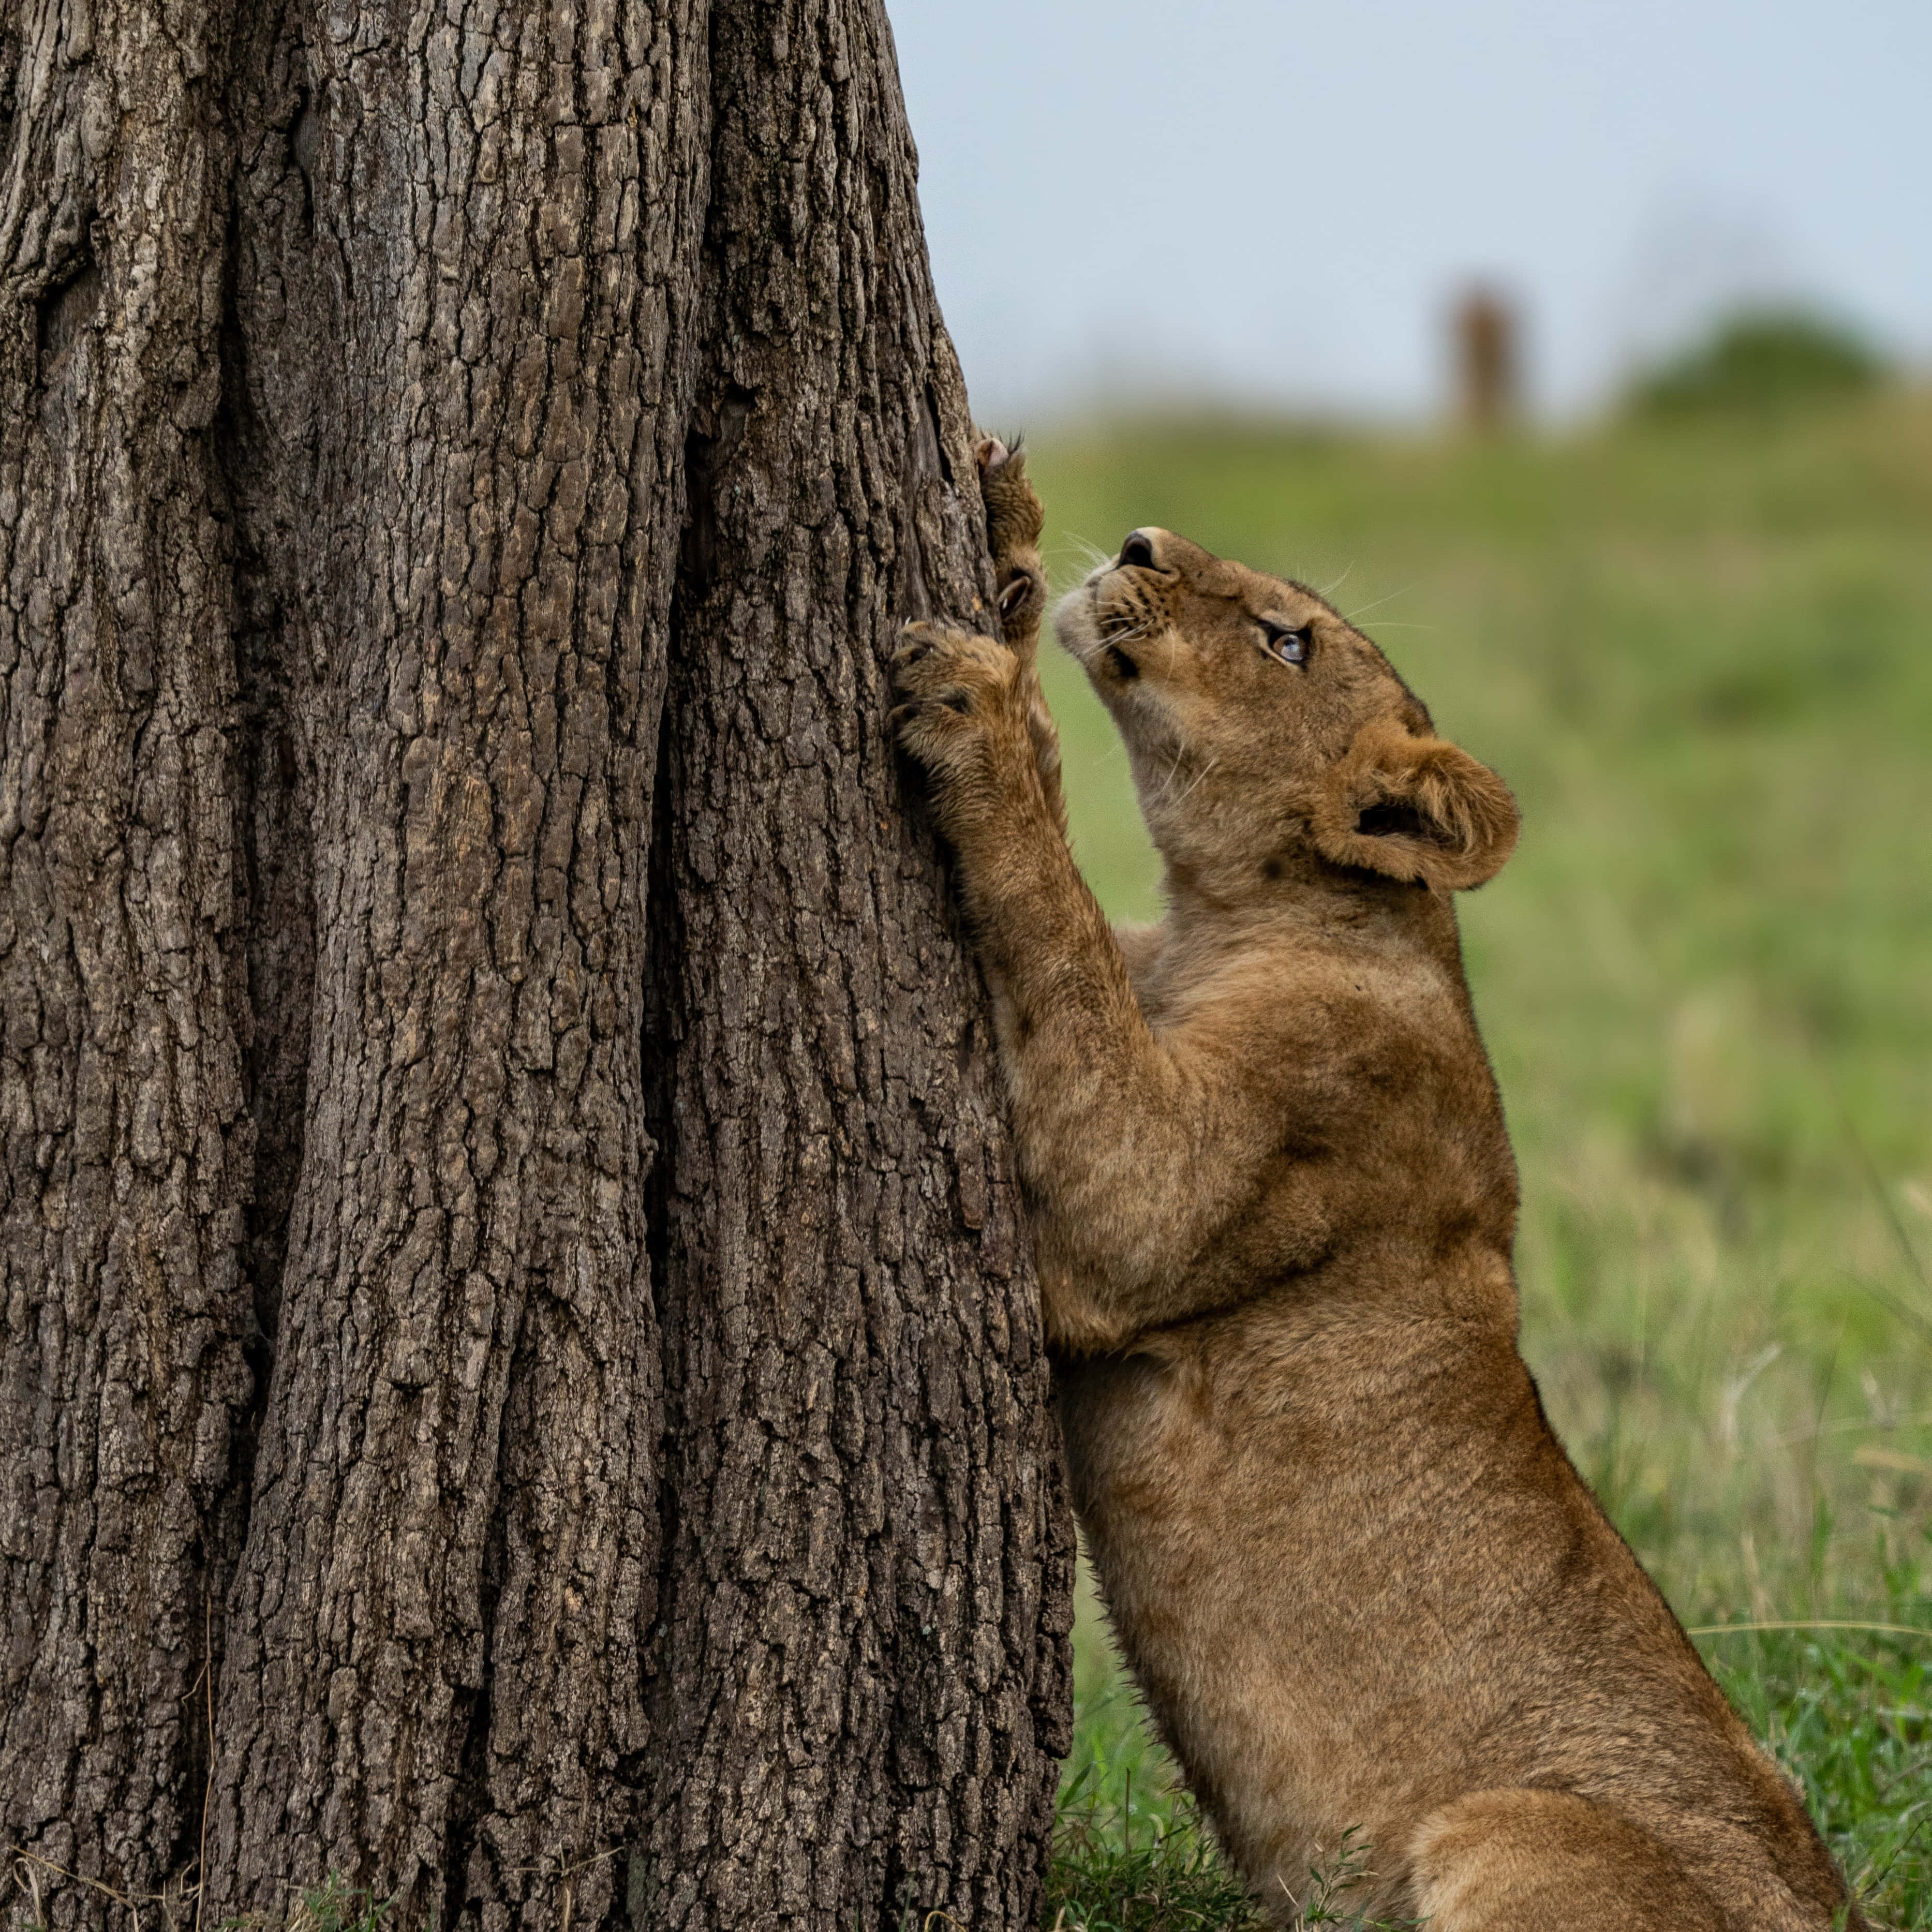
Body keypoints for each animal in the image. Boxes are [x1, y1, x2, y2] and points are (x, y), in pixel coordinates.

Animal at [890, 441, 1867, 1931]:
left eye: (1284, 638)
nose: (1141, 540)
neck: (1227, 916)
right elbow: (1073, 888)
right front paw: (1004, 529)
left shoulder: (1150, 1202)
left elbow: (1053, 917)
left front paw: (975, 709)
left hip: (1497, 1826)